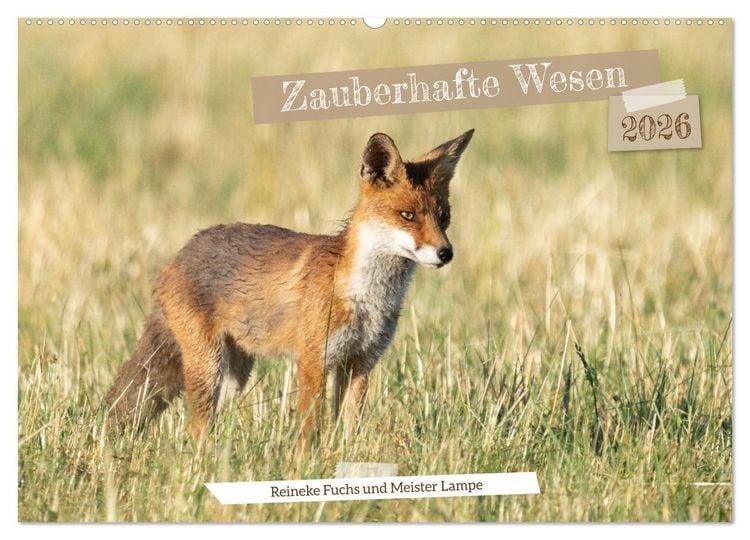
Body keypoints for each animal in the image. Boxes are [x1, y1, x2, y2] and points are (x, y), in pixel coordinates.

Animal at [105, 129, 474, 442]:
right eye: (407, 216)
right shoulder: (312, 361)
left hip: (234, 376)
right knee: (193, 430)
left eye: (444, 217)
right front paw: (305, 466)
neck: (366, 298)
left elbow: (349, 430)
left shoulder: (360, 363)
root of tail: (177, 257)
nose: (446, 253)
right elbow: (309, 430)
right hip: (207, 367)